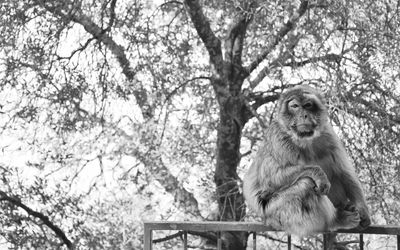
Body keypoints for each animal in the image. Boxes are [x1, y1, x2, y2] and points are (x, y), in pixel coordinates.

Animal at [244, 85, 372, 236]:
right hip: (277, 215)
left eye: (308, 105)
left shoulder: (328, 133)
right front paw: (318, 174)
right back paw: (335, 220)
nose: (303, 115)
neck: (305, 139)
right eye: (294, 106)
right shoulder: (279, 138)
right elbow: (271, 180)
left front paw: (363, 210)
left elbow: (344, 172)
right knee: (306, 184)